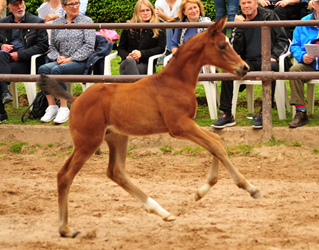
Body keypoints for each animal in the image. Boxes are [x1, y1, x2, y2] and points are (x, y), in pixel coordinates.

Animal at [38, 18, 262, 238]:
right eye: (222, 45)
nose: (244, 68)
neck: (176, 81)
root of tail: (75, 100)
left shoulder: (186, 124)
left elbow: (215, 141)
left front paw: (201, 192)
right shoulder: (179, 126)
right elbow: (215, 143)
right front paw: (250, 188)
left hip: (116, 138)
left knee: (115, 172)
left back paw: (162, 212)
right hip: (88, 142)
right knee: (65, 175)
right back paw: (65, 228)